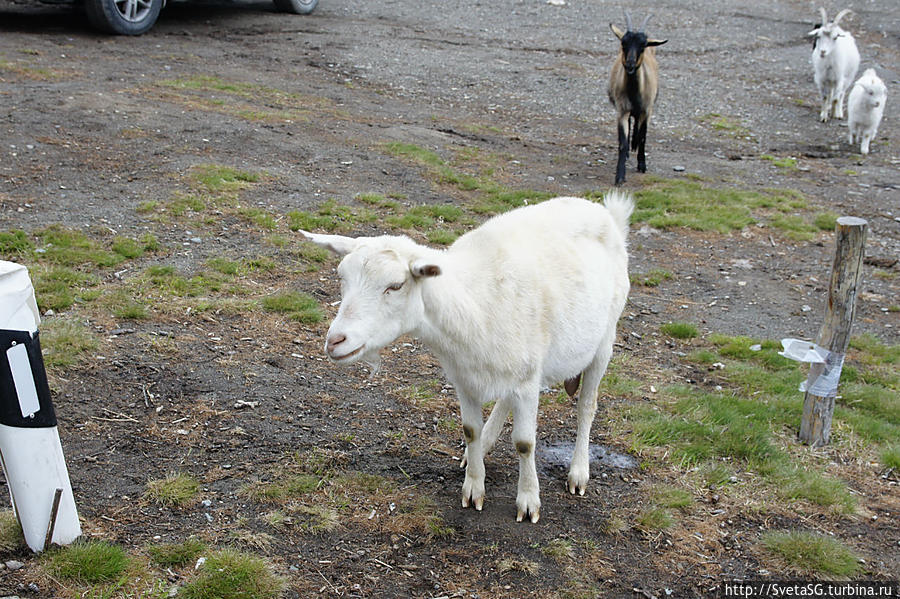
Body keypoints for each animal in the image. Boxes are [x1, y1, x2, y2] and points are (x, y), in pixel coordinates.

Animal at [302, 193, 632, 524]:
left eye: (395, 285)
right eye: (341, 277)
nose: (335, 341)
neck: (473, 306)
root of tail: (605, 212)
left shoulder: (526, 380)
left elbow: (525, 443)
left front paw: (528, 500)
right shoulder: (466, 378)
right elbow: (470, 430)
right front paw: (474, 487)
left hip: (604, 340)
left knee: (587, 406)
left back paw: (579, 471)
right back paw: (487, 443)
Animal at [608, 12, 664, 185]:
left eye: (642, 46)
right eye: (623, 43)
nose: (630, 65)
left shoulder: (647, 110)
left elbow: (643, 136)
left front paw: (642, 165)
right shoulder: (622, 111)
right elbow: (622, 144)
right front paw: (620, 175)